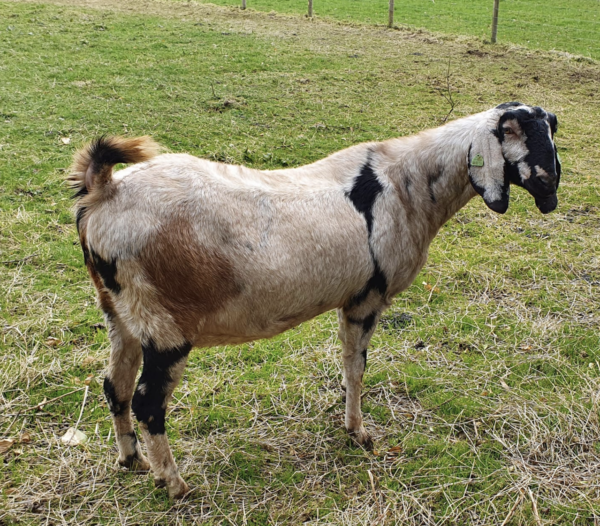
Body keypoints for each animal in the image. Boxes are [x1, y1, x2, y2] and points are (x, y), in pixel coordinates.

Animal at [70, 102, 564, 500]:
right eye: (524, 135)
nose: (551, 190)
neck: (408, 184)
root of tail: (104, 191)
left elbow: (347, 366)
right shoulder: (366, 299)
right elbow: (356, 368)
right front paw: (358, 432)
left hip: (120, 313)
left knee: (114, 387)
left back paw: (131, 461)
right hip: (164, 325)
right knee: (148, 403)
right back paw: (173, 483)